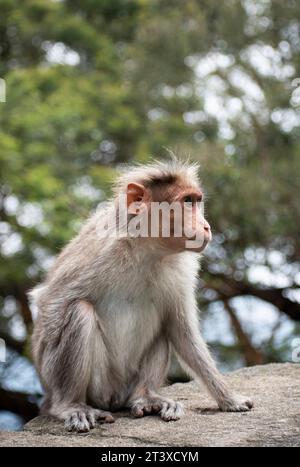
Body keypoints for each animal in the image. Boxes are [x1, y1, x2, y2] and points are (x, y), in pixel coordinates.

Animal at [29, 160, 253, 432]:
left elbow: (181, 329)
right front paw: (60, 403)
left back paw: (146, 397)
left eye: (197, 201)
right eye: (187, 202)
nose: (206, 226)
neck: (148, 248)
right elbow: (51, 299)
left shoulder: (181, 269)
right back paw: (70, 404)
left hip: (128, 383)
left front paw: (228, 399)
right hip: (101, 386)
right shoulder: (99, 251)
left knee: (165, 325)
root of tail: (116, 397)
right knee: (79, 310)